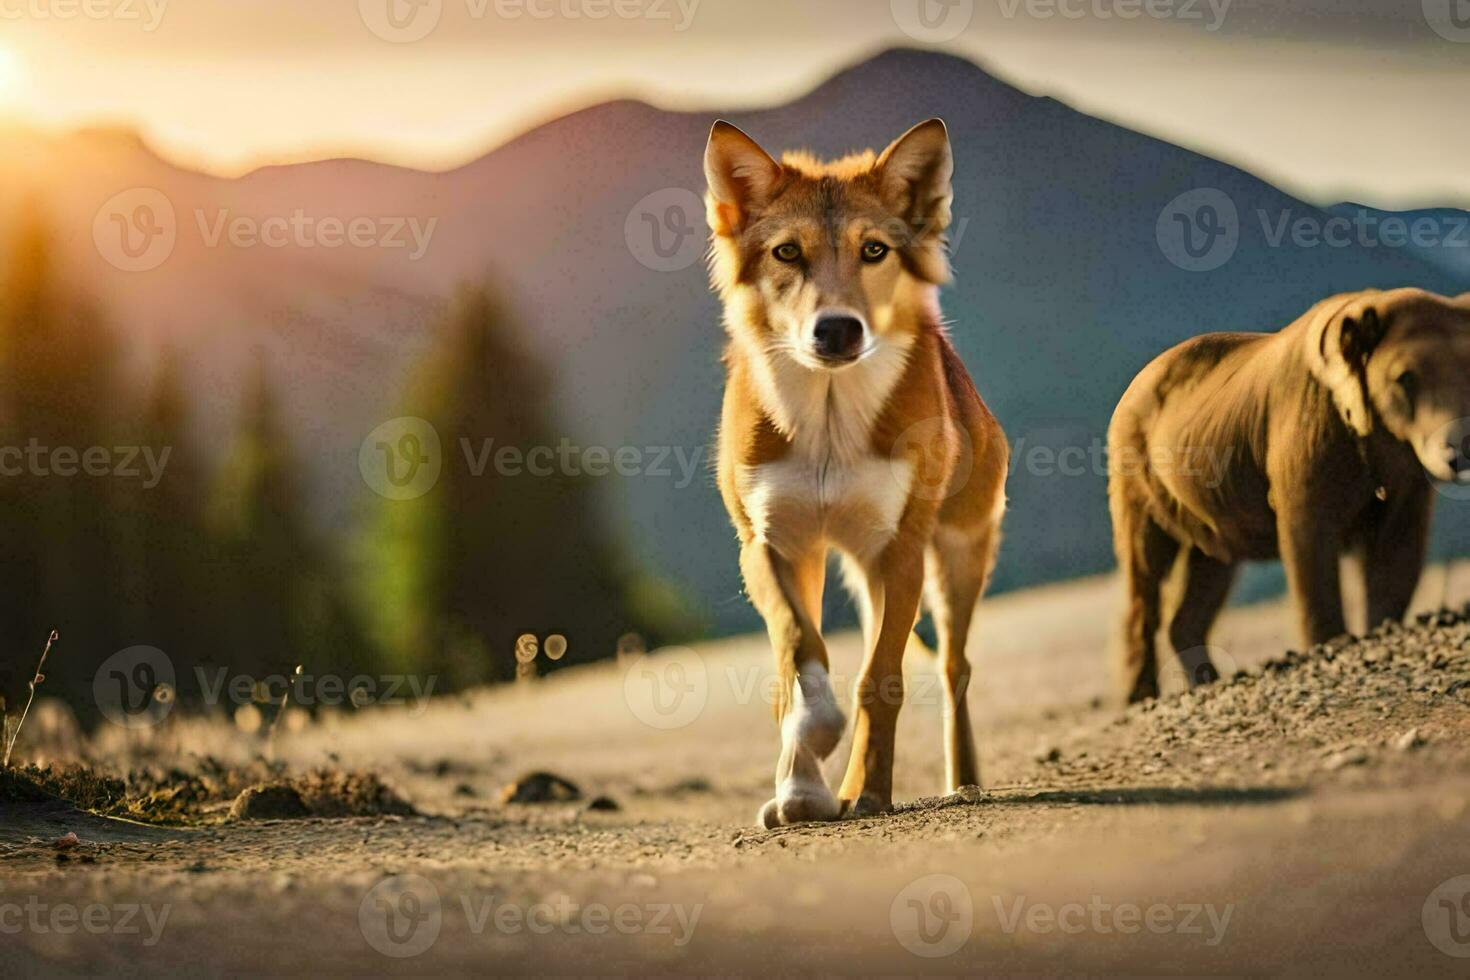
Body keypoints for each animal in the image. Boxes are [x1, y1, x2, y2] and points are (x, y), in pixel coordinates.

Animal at [702, 119, 1011, 822]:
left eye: (874, 250)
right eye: (787, 253)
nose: (837, 329)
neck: (829, 420)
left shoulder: (903, 549)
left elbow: (879, 679)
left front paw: (869, 790)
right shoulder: (771, 546)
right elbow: (800, 656)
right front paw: (802, 784)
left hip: (957, 559)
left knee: (954, 669)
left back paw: (961, 781)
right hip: (857, 570)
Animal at [1111, 287, 1470, 702]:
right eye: (1405, 378)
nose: (1461, 453)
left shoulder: (1405, 474)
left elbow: (1397, 552)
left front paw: (1380, 626)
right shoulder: (1305, 435)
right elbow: (1308, 543)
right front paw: (1330, 642)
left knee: (1209, 569)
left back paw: (1206, 679)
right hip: (1135, 466)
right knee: (1145, 566)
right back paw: (1140, 696)